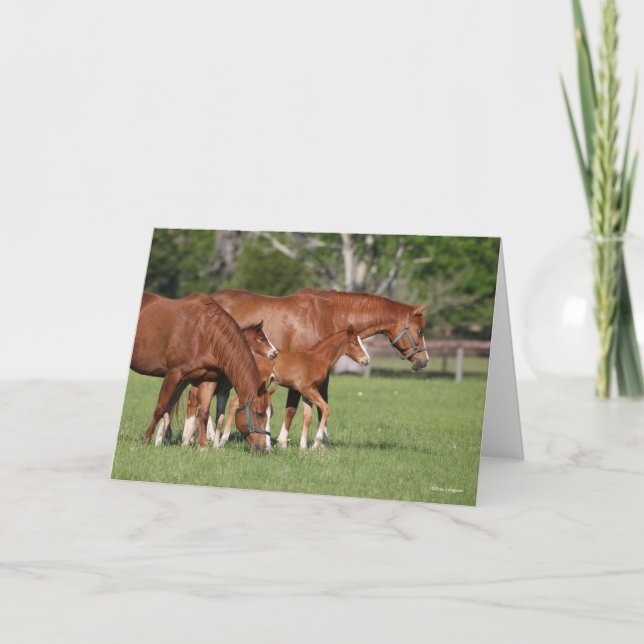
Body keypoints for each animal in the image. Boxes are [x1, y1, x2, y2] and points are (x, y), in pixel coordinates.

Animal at [130, 292, 270, 451]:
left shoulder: (209, 379)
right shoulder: (173, 374)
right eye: (259, 414)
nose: (265, 449)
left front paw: (202, 445)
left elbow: (204, 412)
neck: (204, 333)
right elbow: (160, 407)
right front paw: (147, 439)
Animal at [218, 326, 370, 449]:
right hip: (259, 383)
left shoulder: (305, 393)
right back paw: (223, 439)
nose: (367, 360)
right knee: (234, 401)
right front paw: (316, 443)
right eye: (355, 343)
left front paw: (303, 447)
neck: (318, 359)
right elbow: (325, 408)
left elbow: (307, 416)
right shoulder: (309, 389)